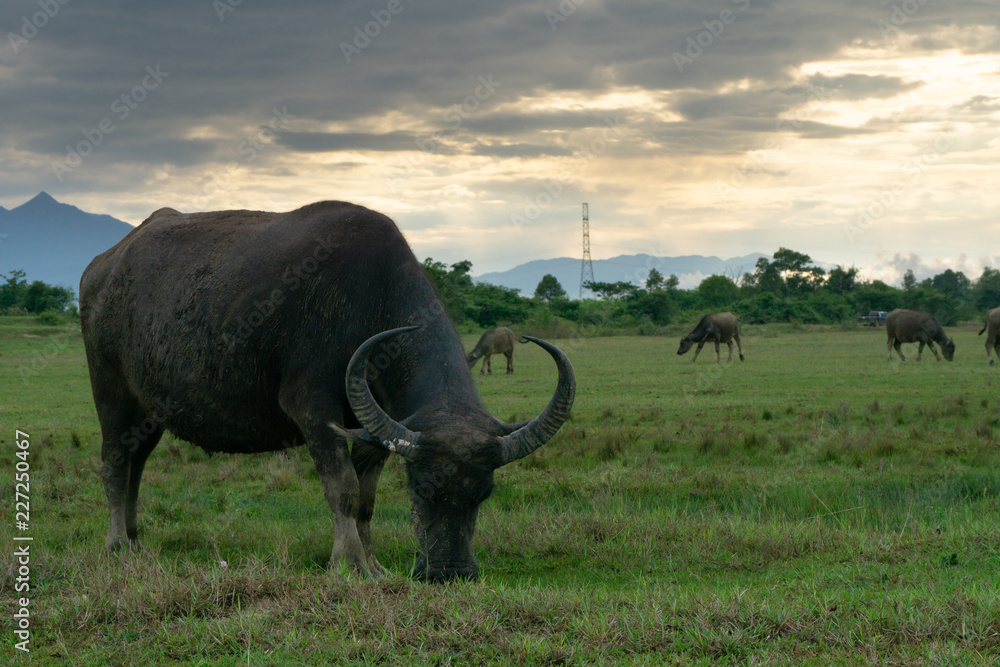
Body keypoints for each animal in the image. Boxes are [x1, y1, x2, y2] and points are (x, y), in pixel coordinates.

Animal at [80, 200, 575, 582]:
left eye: (484, 493)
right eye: (420, 489)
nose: (450, 572)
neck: (368, 299)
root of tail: (102, 268)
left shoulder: (375, 426)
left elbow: (367, 500)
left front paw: (374, 565)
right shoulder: (314, 410)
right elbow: (343, 489)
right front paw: (348, 563)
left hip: (151, 412)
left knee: (137, 465)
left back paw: (135, 538)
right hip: (112, 393)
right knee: (115, 462)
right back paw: (115, 544)